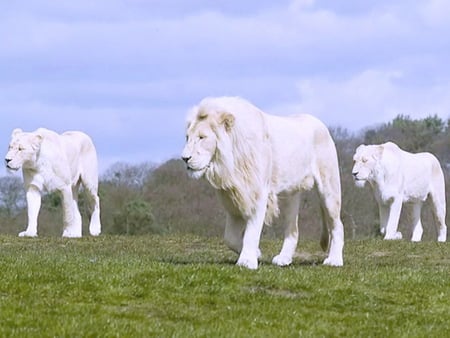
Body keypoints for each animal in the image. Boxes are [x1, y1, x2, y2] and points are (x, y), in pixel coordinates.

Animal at [181, 95, 342, 270]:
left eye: (202, 137)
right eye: (187, 137)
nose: (184, 158)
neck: (228, 164)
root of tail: (321, 125)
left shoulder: (257, 192)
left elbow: (252, 231)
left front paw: (247, 261)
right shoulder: (234, 197)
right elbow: (229, 237)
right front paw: (256, 253)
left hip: (329, 188)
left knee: (337, 225)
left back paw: (335, 260)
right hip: (289, 194)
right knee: (293, 229)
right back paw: (284, 259)